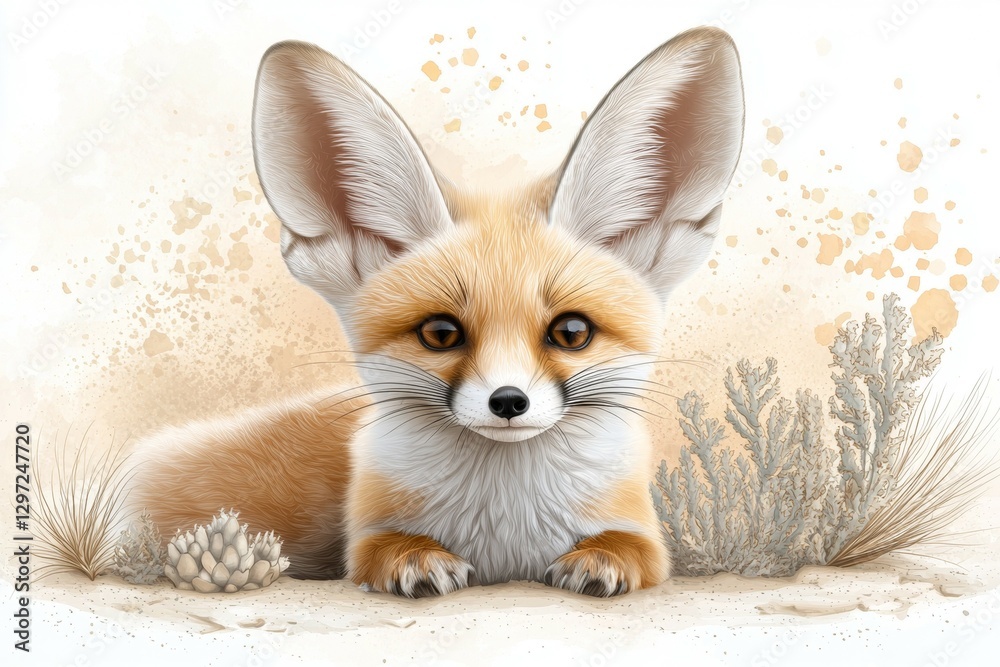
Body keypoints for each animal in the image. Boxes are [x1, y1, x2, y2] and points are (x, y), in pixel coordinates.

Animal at [130, 26, 745, 598]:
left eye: (572, 332)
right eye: (441, 333)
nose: (508, 402)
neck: (506, 538)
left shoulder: (648, 537)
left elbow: (631, 547)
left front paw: (600, 558)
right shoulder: (364, 533)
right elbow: (382, 547)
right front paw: (418, 557)